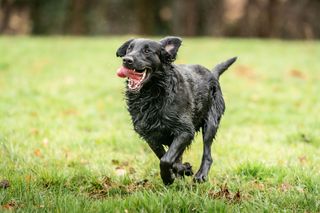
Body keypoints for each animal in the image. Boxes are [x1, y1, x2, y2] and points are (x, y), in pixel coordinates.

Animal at [115, 36, 235, 185]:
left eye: (147, 51)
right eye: (129, 49)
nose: (127, 60)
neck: (153, 94)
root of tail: (212, 73)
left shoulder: (185, 131)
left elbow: (166, 160)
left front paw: (168, 178)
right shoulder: (149, 135)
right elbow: (165, 157)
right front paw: (181, 170)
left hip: (211, 123)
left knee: (207, 153)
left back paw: (200, 175)